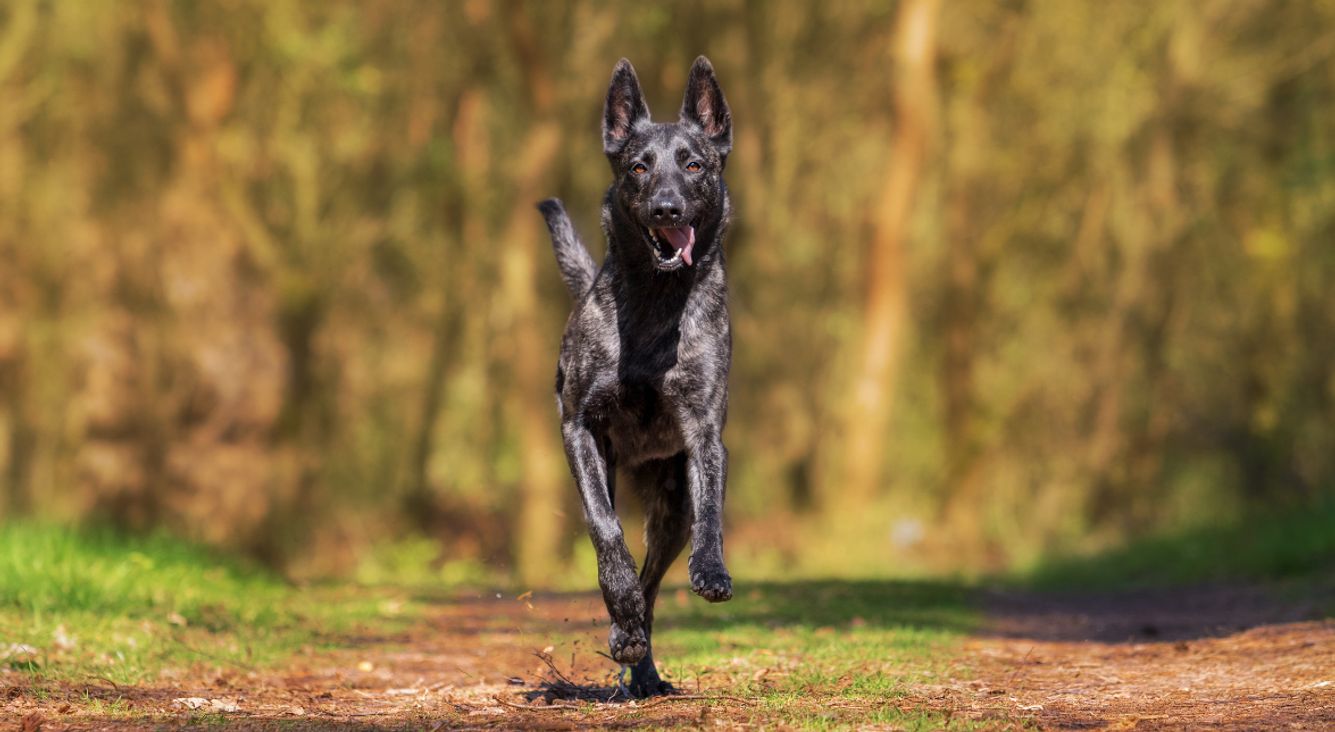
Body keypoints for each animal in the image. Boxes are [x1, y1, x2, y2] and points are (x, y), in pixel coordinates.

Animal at [534, 55, 736, 699]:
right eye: (638, 167)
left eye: (694, 164)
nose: (667, 208)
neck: (655, 302)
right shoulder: (580, 430)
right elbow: (607, 535)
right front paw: (618, 613)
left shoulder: (704, 433)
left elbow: (712, 512)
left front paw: (712, 571)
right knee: (632, 573)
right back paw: (627, 640)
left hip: (671, 510)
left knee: (654, 583)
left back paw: (642, 666)